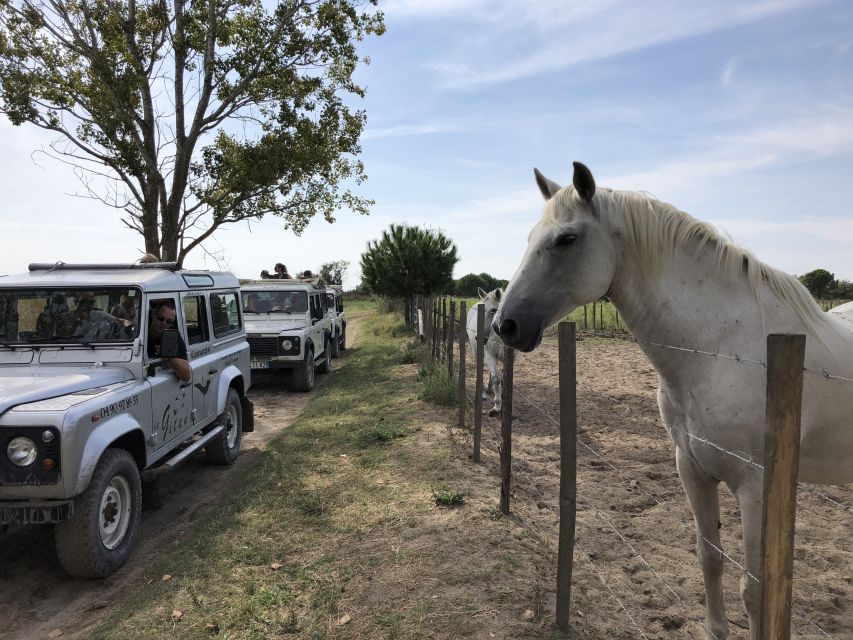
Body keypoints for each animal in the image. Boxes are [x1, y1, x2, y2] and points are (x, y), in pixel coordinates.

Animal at [492, 162, 852, 636]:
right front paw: (715, 630)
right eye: (532, 236)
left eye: (566, 239)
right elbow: (709, 558)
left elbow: (755, 592)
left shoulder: (756, 488)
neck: (721, 350)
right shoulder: (692, 469)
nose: (504, 325)